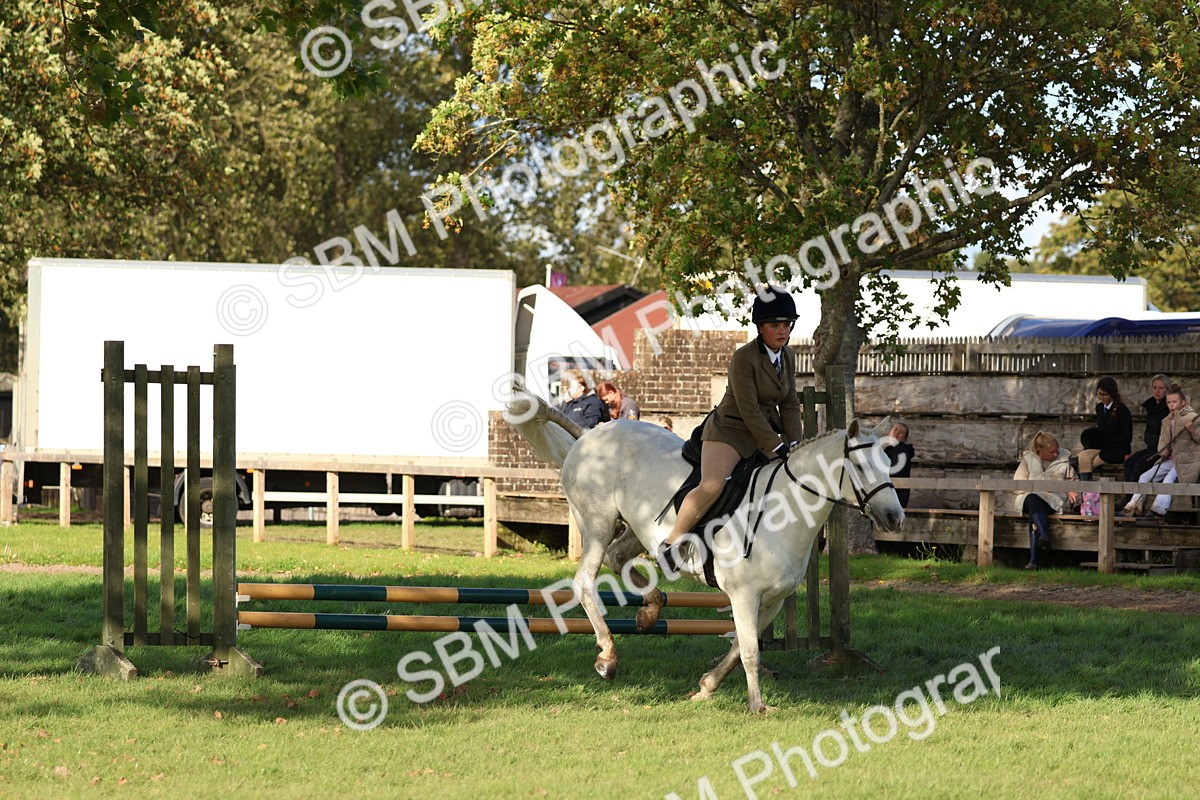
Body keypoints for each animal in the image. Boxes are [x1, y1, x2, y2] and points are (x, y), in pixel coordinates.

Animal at [506, 392, 905, 714]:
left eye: (890, 464)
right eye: (860, 466)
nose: (894, 517)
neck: (786, 507)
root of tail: (591, 434)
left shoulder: (772, 600)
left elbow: (739, 647)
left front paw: (706, 687)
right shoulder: (744, 595)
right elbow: (749, 651)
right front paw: (758, 706)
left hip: (635, 528)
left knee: (618, 557)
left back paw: (650, 612)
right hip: (597, 523)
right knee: (586, 581)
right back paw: (607, 655)